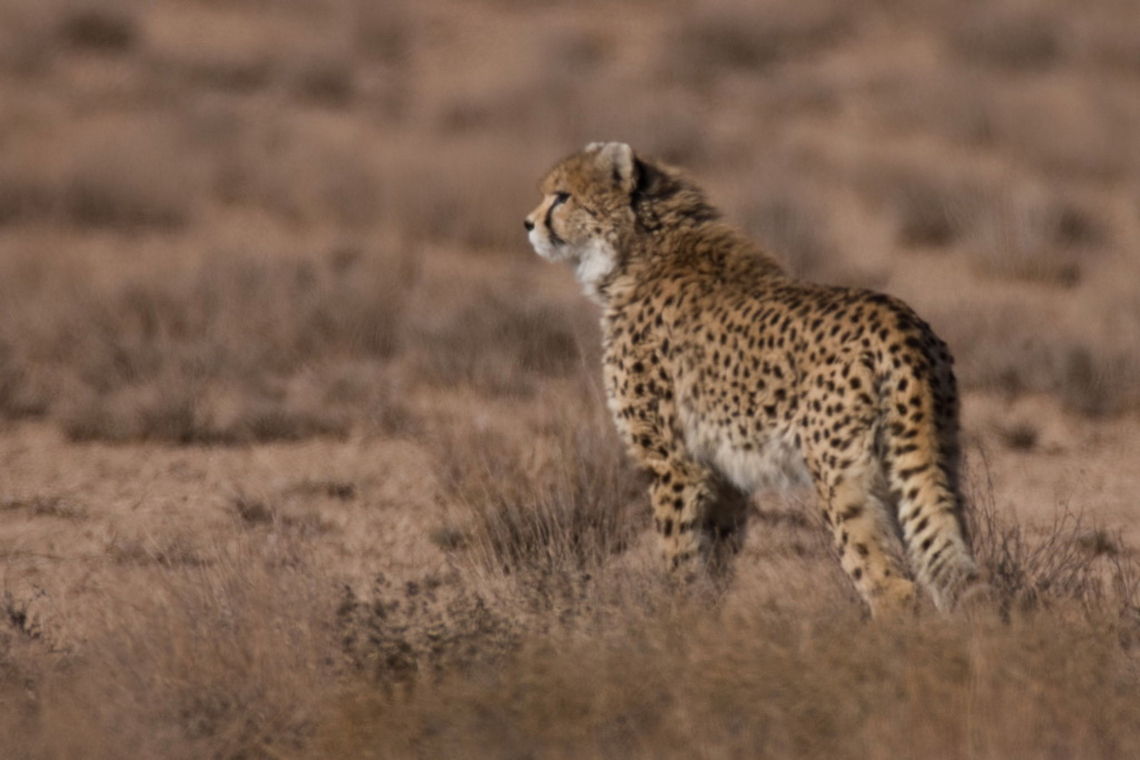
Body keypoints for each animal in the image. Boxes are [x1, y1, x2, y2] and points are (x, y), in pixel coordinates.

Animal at [524, 142, 982, 616]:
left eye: (561, 197)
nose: (529, 223)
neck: (639, 251)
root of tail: (901, 321)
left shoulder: (674, 463)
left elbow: (680, 558)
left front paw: (675, 620)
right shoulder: (722, 473)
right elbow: (715, 562)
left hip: (842, 476)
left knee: (892, 586)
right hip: (934, 456)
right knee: (954, 568)